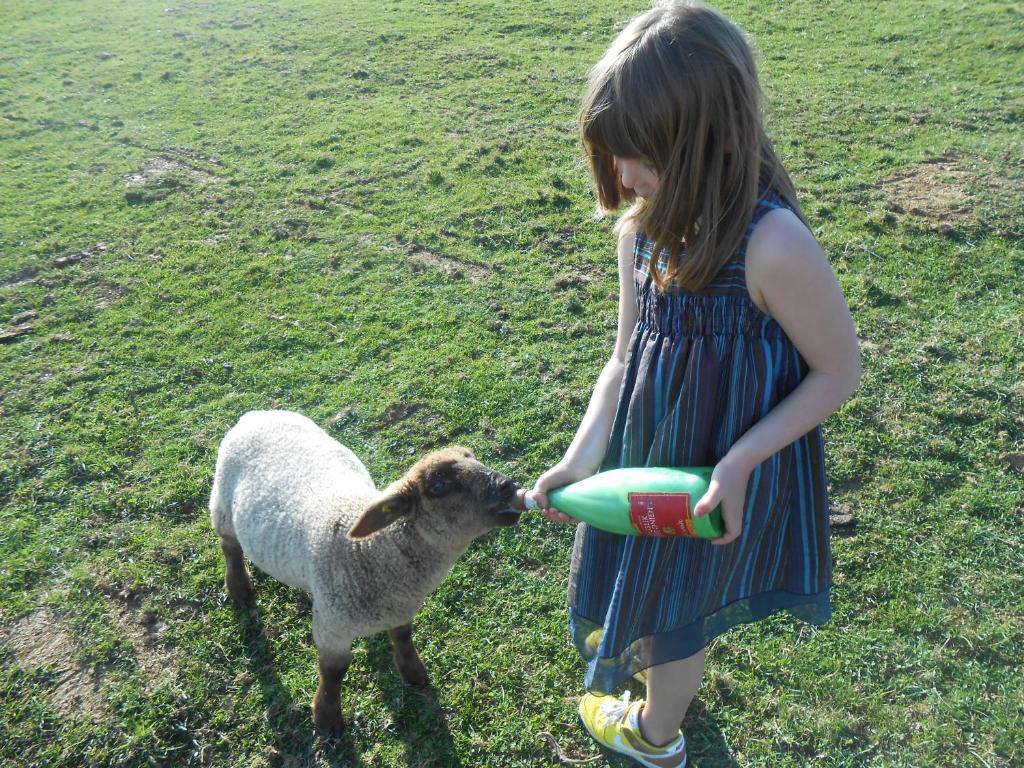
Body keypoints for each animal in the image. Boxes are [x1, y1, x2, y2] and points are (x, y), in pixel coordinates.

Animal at [210, 411, 524, 737]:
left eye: (472, 457)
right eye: (439, 485)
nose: (507, 485)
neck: (372, 551)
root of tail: (258, 413)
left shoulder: (399, 608)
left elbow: (403, 638)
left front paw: (414, 674)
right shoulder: (333, 627)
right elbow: (333, 672)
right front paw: (327, 717)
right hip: (222, 505)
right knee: (229, 546)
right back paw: (239, 589)